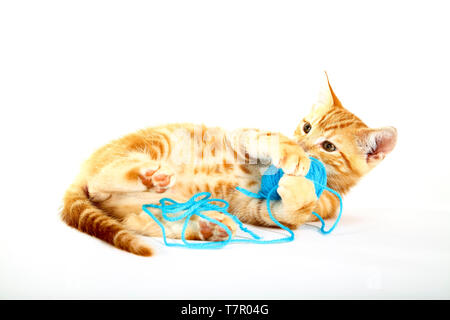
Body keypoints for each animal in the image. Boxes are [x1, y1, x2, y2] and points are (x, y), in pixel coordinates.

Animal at [60, 74, 398, 256]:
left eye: (329, 147)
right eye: (306, 127)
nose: (304, 146)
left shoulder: (259, 208)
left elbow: (290, 211)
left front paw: (298, 186)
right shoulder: (242, 136)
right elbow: (268, 138)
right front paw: (293, 156)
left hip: (141, 205)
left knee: (137, 218)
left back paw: (208, 227)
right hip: (159, 142)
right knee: (99, 183)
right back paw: (147, 174)